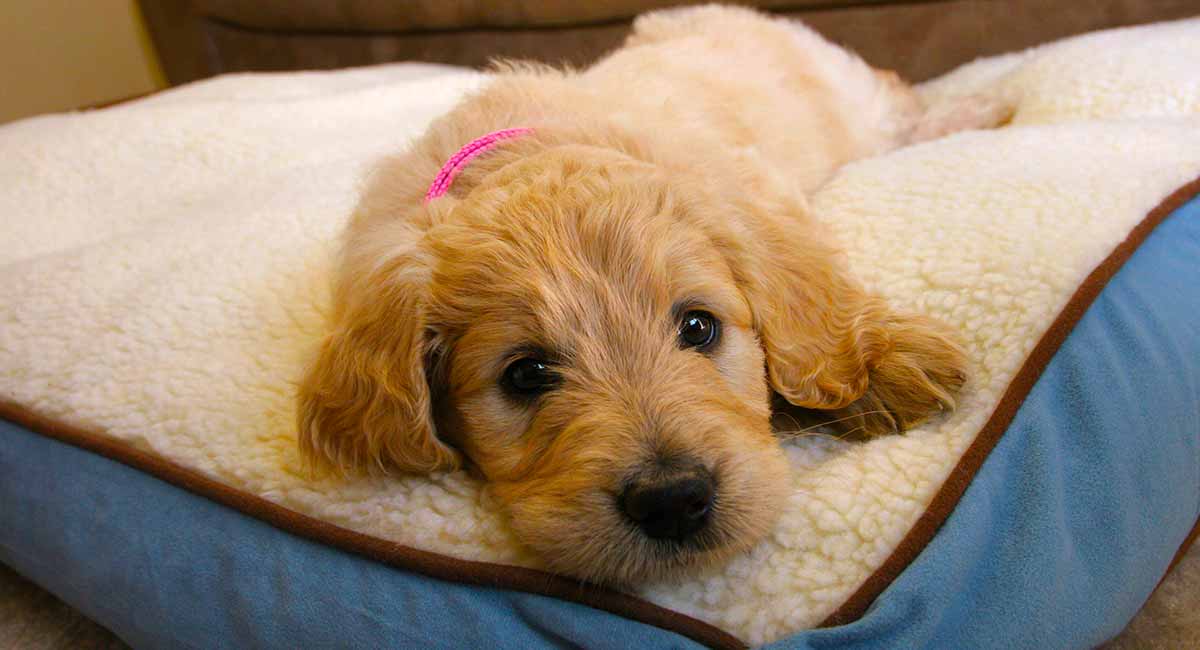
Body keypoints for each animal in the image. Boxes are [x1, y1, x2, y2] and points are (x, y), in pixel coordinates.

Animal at [297, 5, 993, 585]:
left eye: (699, 327)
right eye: (525, 374)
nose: (672, 499)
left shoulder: (753, 192)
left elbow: (807, 285)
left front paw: (882, 362)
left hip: (848, 98)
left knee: (899, 102)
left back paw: (977, 109)